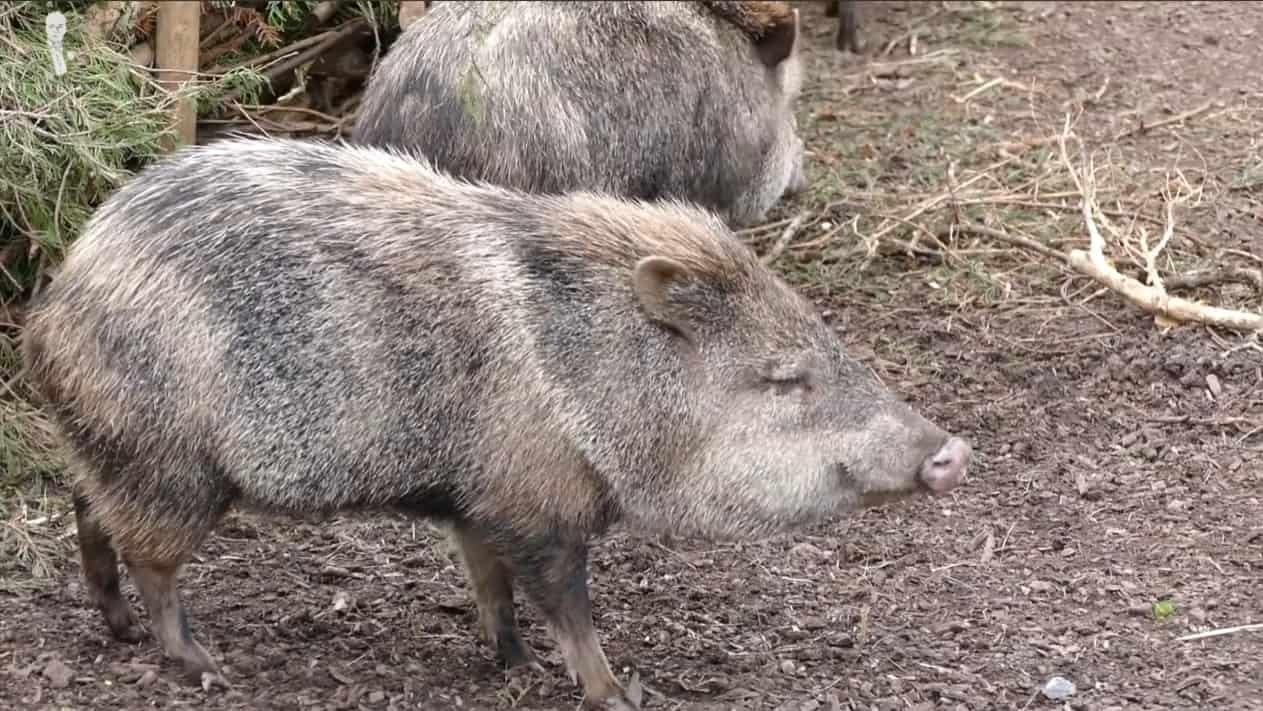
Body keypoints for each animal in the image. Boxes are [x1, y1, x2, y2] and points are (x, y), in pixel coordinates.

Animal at [21, 136, 970, 711]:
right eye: (783, 378)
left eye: (827, 342)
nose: (952, 451)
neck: (580, 378)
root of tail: (57, 300)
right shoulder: (532, 497)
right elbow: (565, 598)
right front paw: (615, 692)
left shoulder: (476, 498)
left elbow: (489, 582)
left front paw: (508, 661)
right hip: (170, 463)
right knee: (149, 557)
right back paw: (201, 663)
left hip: (118, 452)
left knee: (86, 512)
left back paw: (117, 630)